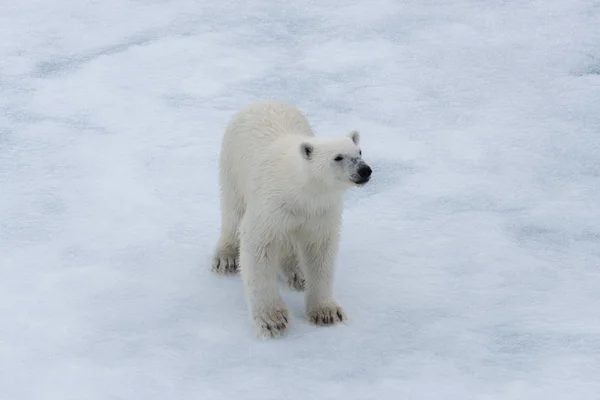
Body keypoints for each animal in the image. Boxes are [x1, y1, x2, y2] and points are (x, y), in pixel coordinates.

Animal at [210, 99, 370, 338]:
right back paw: (226, 258)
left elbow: (319, 251)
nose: (365, 170)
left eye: (359, 151)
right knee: (233, 210)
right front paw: (272, 321)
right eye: (338, 157)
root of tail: (262, 101)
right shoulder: (271, 204)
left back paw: (297, 273)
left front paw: (326, 313)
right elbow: (258, 244)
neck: (301, 189)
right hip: (233, 164)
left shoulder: (321, 211)